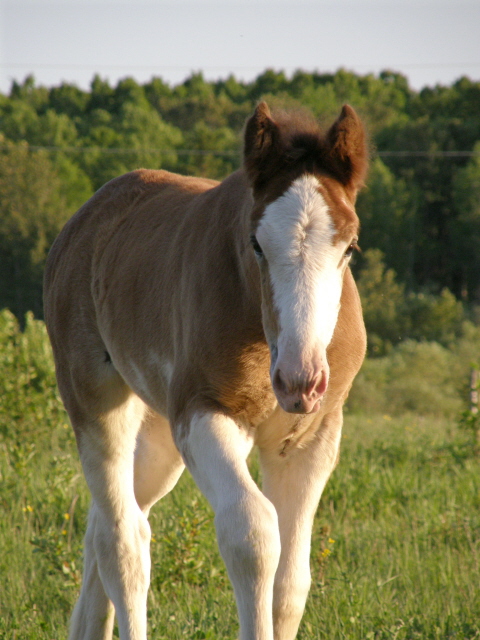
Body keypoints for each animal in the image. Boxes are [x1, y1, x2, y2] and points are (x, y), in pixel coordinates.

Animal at [44, 102, 368, 640]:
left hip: (159, 437)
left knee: (106, 523)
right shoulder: (204, 414)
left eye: (349, 248)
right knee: (123, 542)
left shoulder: (310, 438)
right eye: (256, 245)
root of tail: (85, 217)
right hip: (97, 403)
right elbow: (253, 536)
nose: (299, 381)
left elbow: (291, 584)